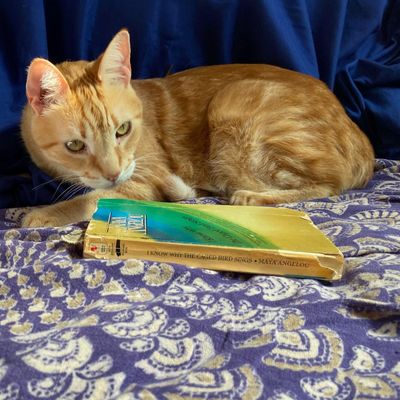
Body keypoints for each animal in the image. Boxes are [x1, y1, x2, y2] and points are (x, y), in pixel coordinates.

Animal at [19, 29, 376, 227]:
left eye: (123, 130)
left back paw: (248, 197)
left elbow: (94, 198)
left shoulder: (146, 177)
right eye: (76, 146)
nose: (112, 172)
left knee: (327, 185)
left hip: (232, 106)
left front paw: (45, 213)